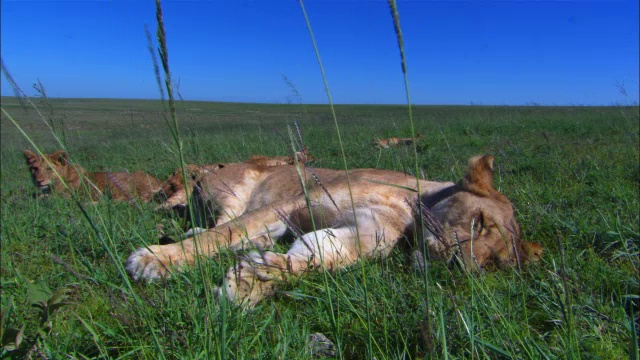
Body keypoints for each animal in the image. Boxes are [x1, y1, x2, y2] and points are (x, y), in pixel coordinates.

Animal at [24, 149, 165, 202]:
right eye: (34, 168)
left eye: (49, 169)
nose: (38, 181)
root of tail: (159, 181)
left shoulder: (66, 196)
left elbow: (41, 197)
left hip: (114, 185)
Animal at [127, 154, 544, 306]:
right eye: (479, 221)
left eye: (494, 264)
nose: (461, 267)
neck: (411, 211)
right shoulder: (293, 203)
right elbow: (221, 236)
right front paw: (155, 261)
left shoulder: (364, 236)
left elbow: (314, 258)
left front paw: (249, 281)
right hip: (232, 192)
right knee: (222, 225)